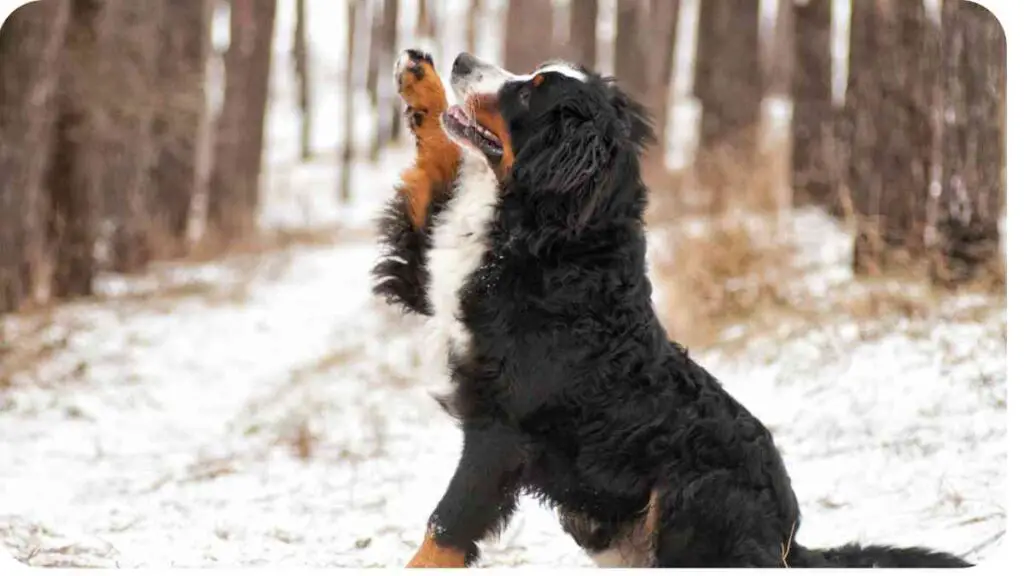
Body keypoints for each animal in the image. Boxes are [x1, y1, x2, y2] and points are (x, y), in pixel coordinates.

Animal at [372, 48, 970, 565]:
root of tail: (789, 539)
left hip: (698, 493)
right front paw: (419, 81)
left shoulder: (501, 433)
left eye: (529, 90)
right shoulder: (429, 281)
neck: (556, 239)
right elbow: (434, 165)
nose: (461, 59)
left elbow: (445, 528)